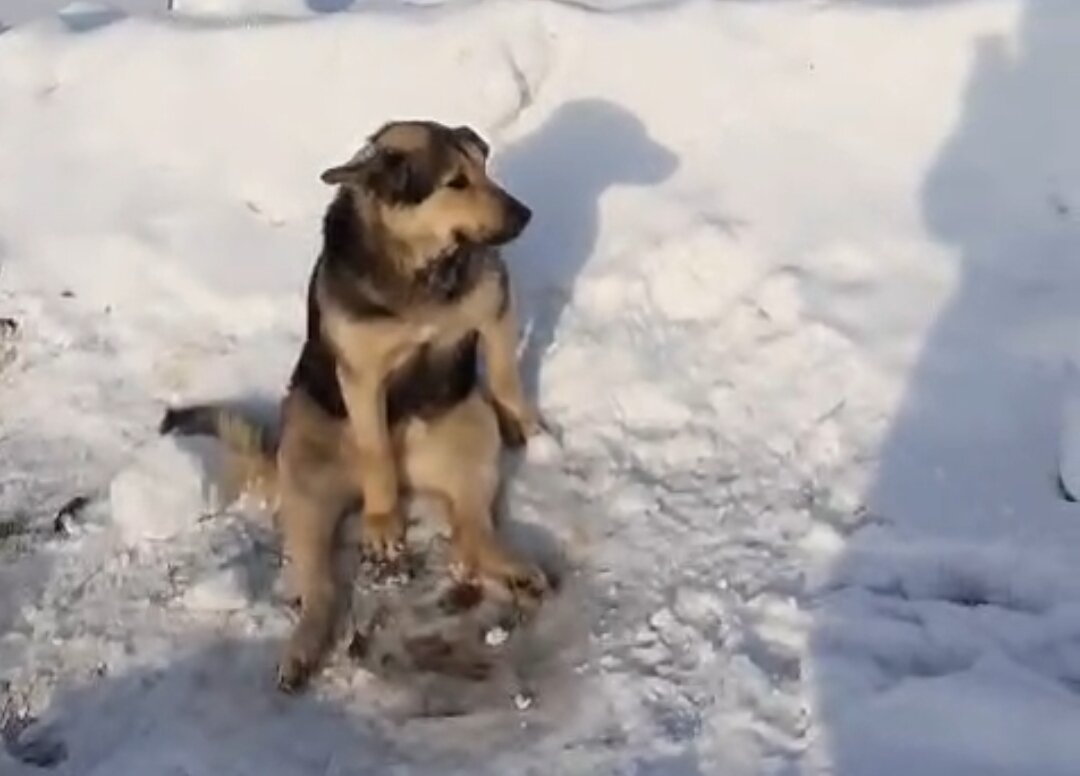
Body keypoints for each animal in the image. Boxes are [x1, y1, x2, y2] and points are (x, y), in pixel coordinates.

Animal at [162, 121, 548, 690]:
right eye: (455, 182)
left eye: (483, 168)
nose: (525, 215)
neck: (417, 267)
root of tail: (418, 478)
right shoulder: (362, 378)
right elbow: (375, 450)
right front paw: (383, 523)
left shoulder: (494, 311)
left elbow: (503, 375)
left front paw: (531, 429)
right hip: (305, 469)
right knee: (321, 588)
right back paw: (302, 650)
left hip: (472, 429)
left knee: (472, 534)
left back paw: (513, 572)